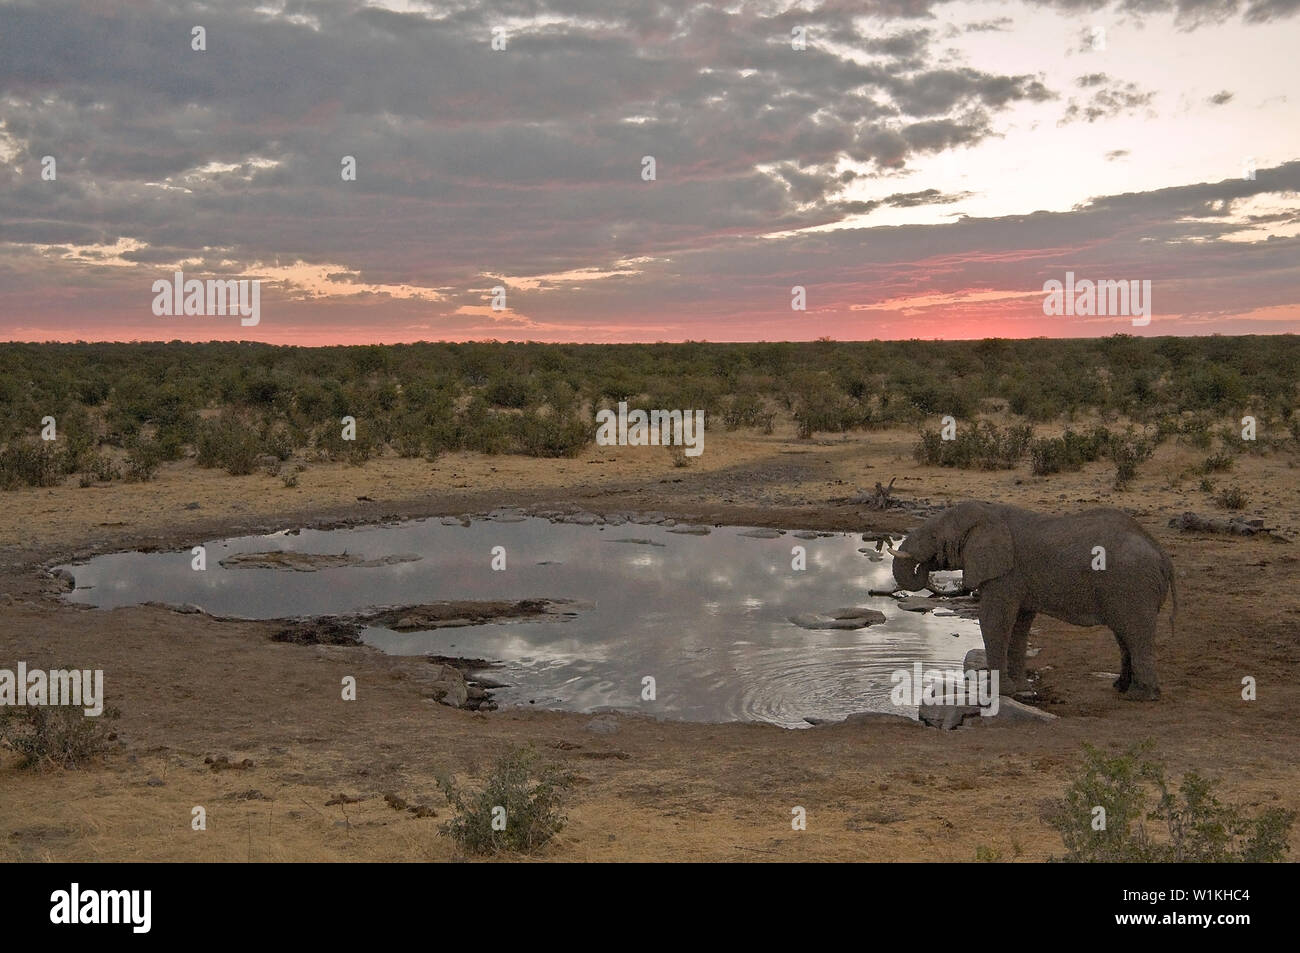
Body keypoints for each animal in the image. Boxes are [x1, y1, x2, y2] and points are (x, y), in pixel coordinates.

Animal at [889, 501, 1175, 696]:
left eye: (934, 537)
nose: (927, 565)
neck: (989, 512)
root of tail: (1161, 553)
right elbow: (1019, 626)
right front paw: (1021, 689)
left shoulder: (1006, 573)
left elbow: (995, 620)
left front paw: (998, 692)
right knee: (1124, 633)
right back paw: (1120, 687)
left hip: (1133, 584)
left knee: (1136, 633)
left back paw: (1141, 696)